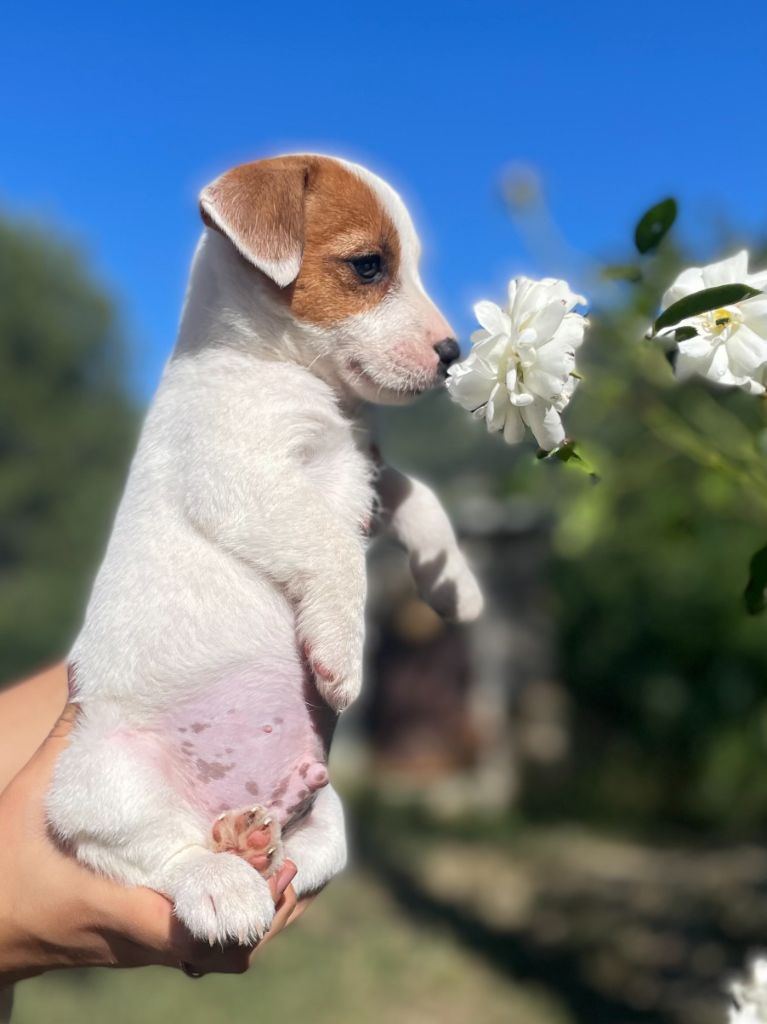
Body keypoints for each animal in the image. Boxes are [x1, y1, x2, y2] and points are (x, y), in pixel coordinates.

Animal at [46, 155, 479, 946]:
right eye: (368, 266)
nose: (451, 354)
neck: (284, 369)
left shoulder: (364, 475)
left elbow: (420, 498)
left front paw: (451, 581)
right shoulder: (246, 481)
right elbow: (335, 552)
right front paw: (342, 654)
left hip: (326, 810)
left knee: (308, 856)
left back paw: (254, 842)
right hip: (99, 781)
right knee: (155, 853)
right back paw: (222, 880)